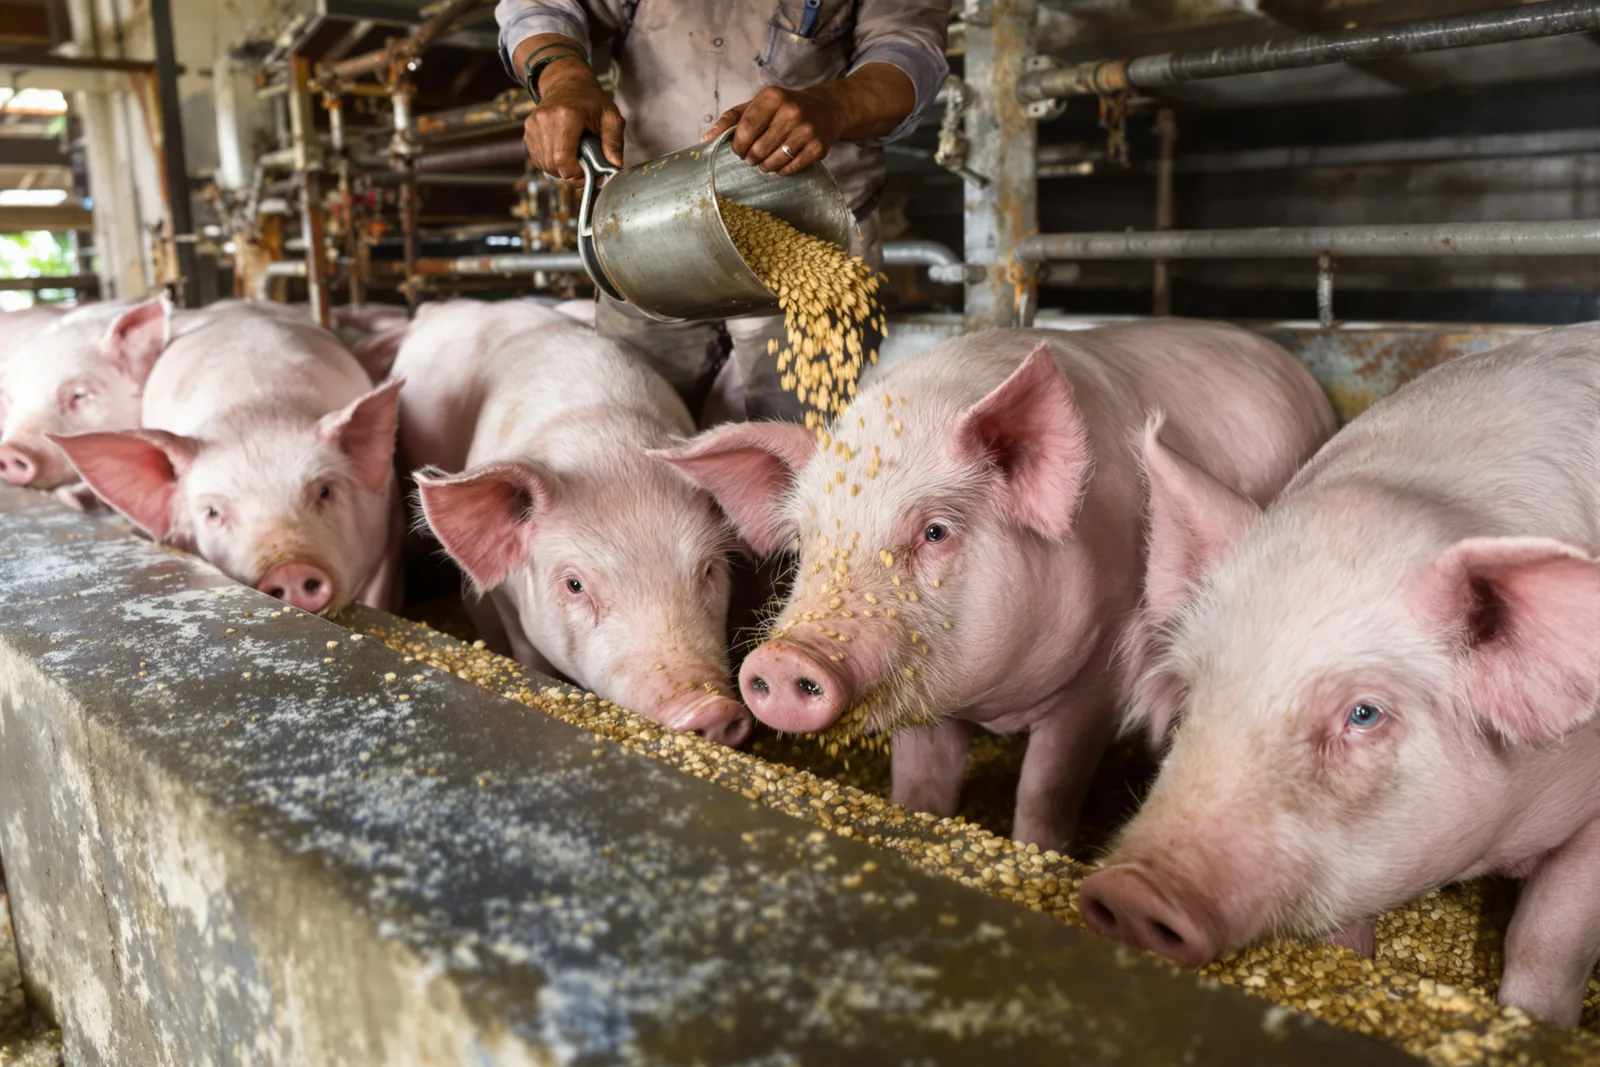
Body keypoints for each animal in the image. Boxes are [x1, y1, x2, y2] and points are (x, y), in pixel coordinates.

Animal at [655, 322, 1337, 846]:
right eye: (803, 541)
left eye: (935, 531)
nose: (781, 657)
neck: (996, 704)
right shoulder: (922, 692)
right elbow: (920, 783)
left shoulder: (1096, 683)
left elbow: (1045, 788)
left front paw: (1042, 850)